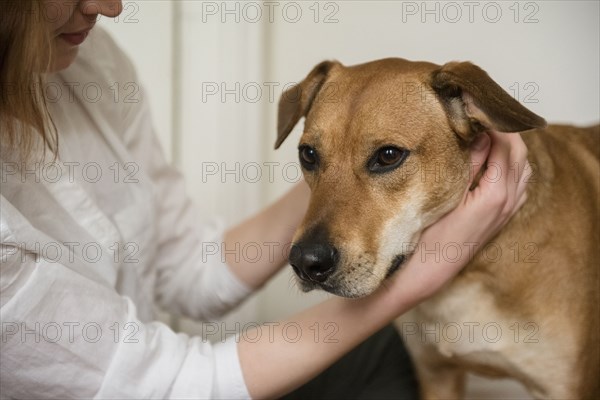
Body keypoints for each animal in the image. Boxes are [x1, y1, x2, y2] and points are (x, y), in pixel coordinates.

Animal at [276, 57, 600, 398]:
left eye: (388, 156)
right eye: (308, 154)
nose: (306, 262)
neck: (462, 282)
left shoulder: (567, 387)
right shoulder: (436, 376)